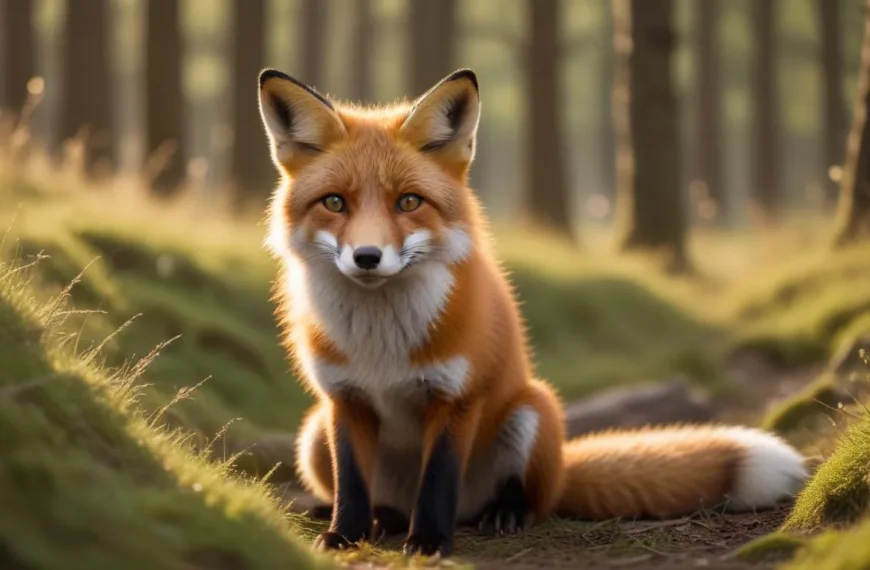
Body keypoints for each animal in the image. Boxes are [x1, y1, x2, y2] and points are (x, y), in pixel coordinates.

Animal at [256, 67, 809, 558]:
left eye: (408, 202)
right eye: (334, 203)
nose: (367, 257)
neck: (381, 345)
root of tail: (563, 468)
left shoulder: (458, 398)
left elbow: (437, 481)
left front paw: (429, 541)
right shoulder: (343, 400)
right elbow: (351, 485)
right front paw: (344, 536)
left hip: (531, 410)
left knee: (525, 499)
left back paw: (504, 513)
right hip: (312, 433)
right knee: (377, 497)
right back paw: (380, 518)